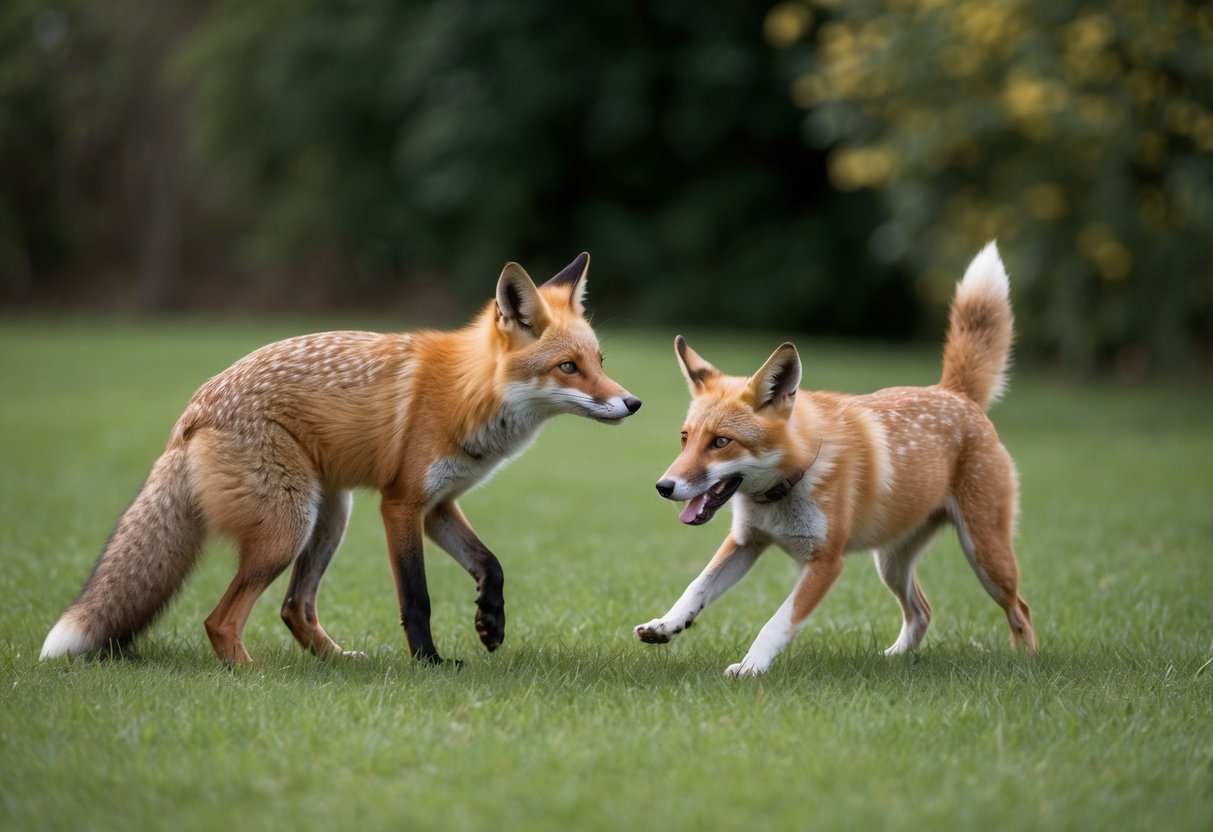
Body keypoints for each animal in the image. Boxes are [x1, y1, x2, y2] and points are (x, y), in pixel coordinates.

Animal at [41, 252, 641, 665]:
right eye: (568, 367)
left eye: (600, 361)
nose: (633, 403)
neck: (469, 395)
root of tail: (192, 410)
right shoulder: (401, 504)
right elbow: (417, 598)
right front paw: (430, 664)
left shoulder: (438, 504)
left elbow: (490, 564)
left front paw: (490, 621)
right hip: (289, 526)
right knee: (220, 620)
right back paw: (250, 673)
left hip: (329, 517)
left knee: (293, 607)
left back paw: (337, 662)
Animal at [635, 242, 1036, 676]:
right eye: (686, 438)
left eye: (721, 442)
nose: (663, 487)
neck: (788, 485)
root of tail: (954, 392)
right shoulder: (745, 541)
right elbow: (697, 587)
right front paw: (667, 624)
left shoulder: (826, 563)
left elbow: (776, 623)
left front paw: (751, 668)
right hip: (891, 562)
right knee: (923, 612)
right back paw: (894, 659)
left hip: (986, 558)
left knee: (1021, 611)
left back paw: (1028, 665)